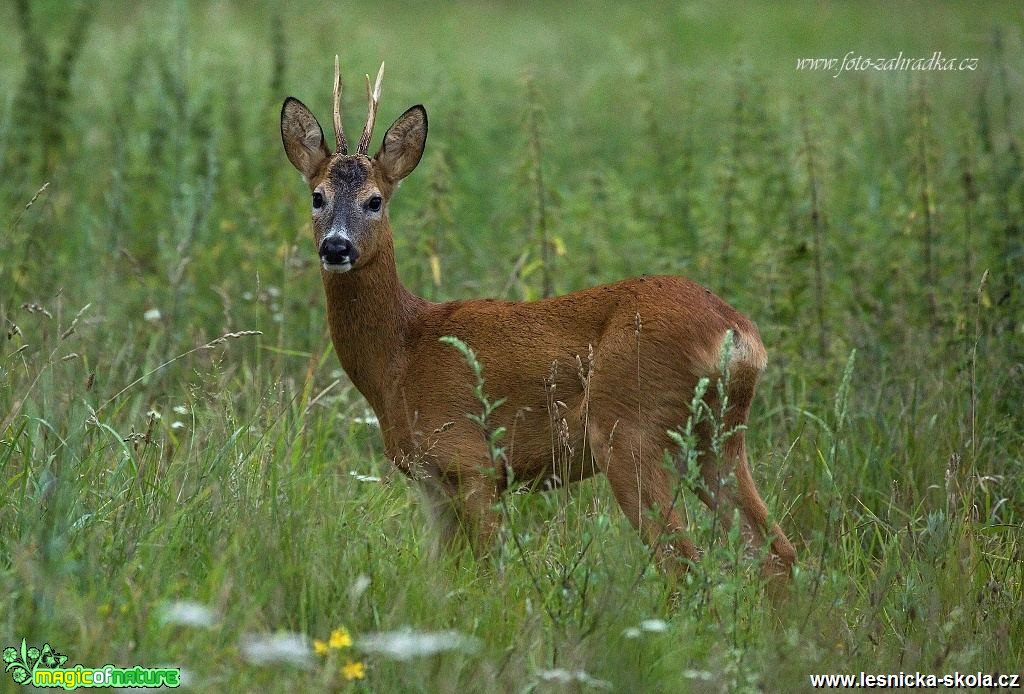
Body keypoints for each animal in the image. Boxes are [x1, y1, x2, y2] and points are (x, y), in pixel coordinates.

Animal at [282, 57, 798, 585]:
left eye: (374, 200)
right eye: (318, 196)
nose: (336, 247)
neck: (400, 353)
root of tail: (736, 333)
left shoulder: (474, 461)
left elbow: (488, 572)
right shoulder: (430, 479)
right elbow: (441, 576)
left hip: (629, 426)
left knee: (684, 560)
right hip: (715, 438)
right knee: (775, 549)